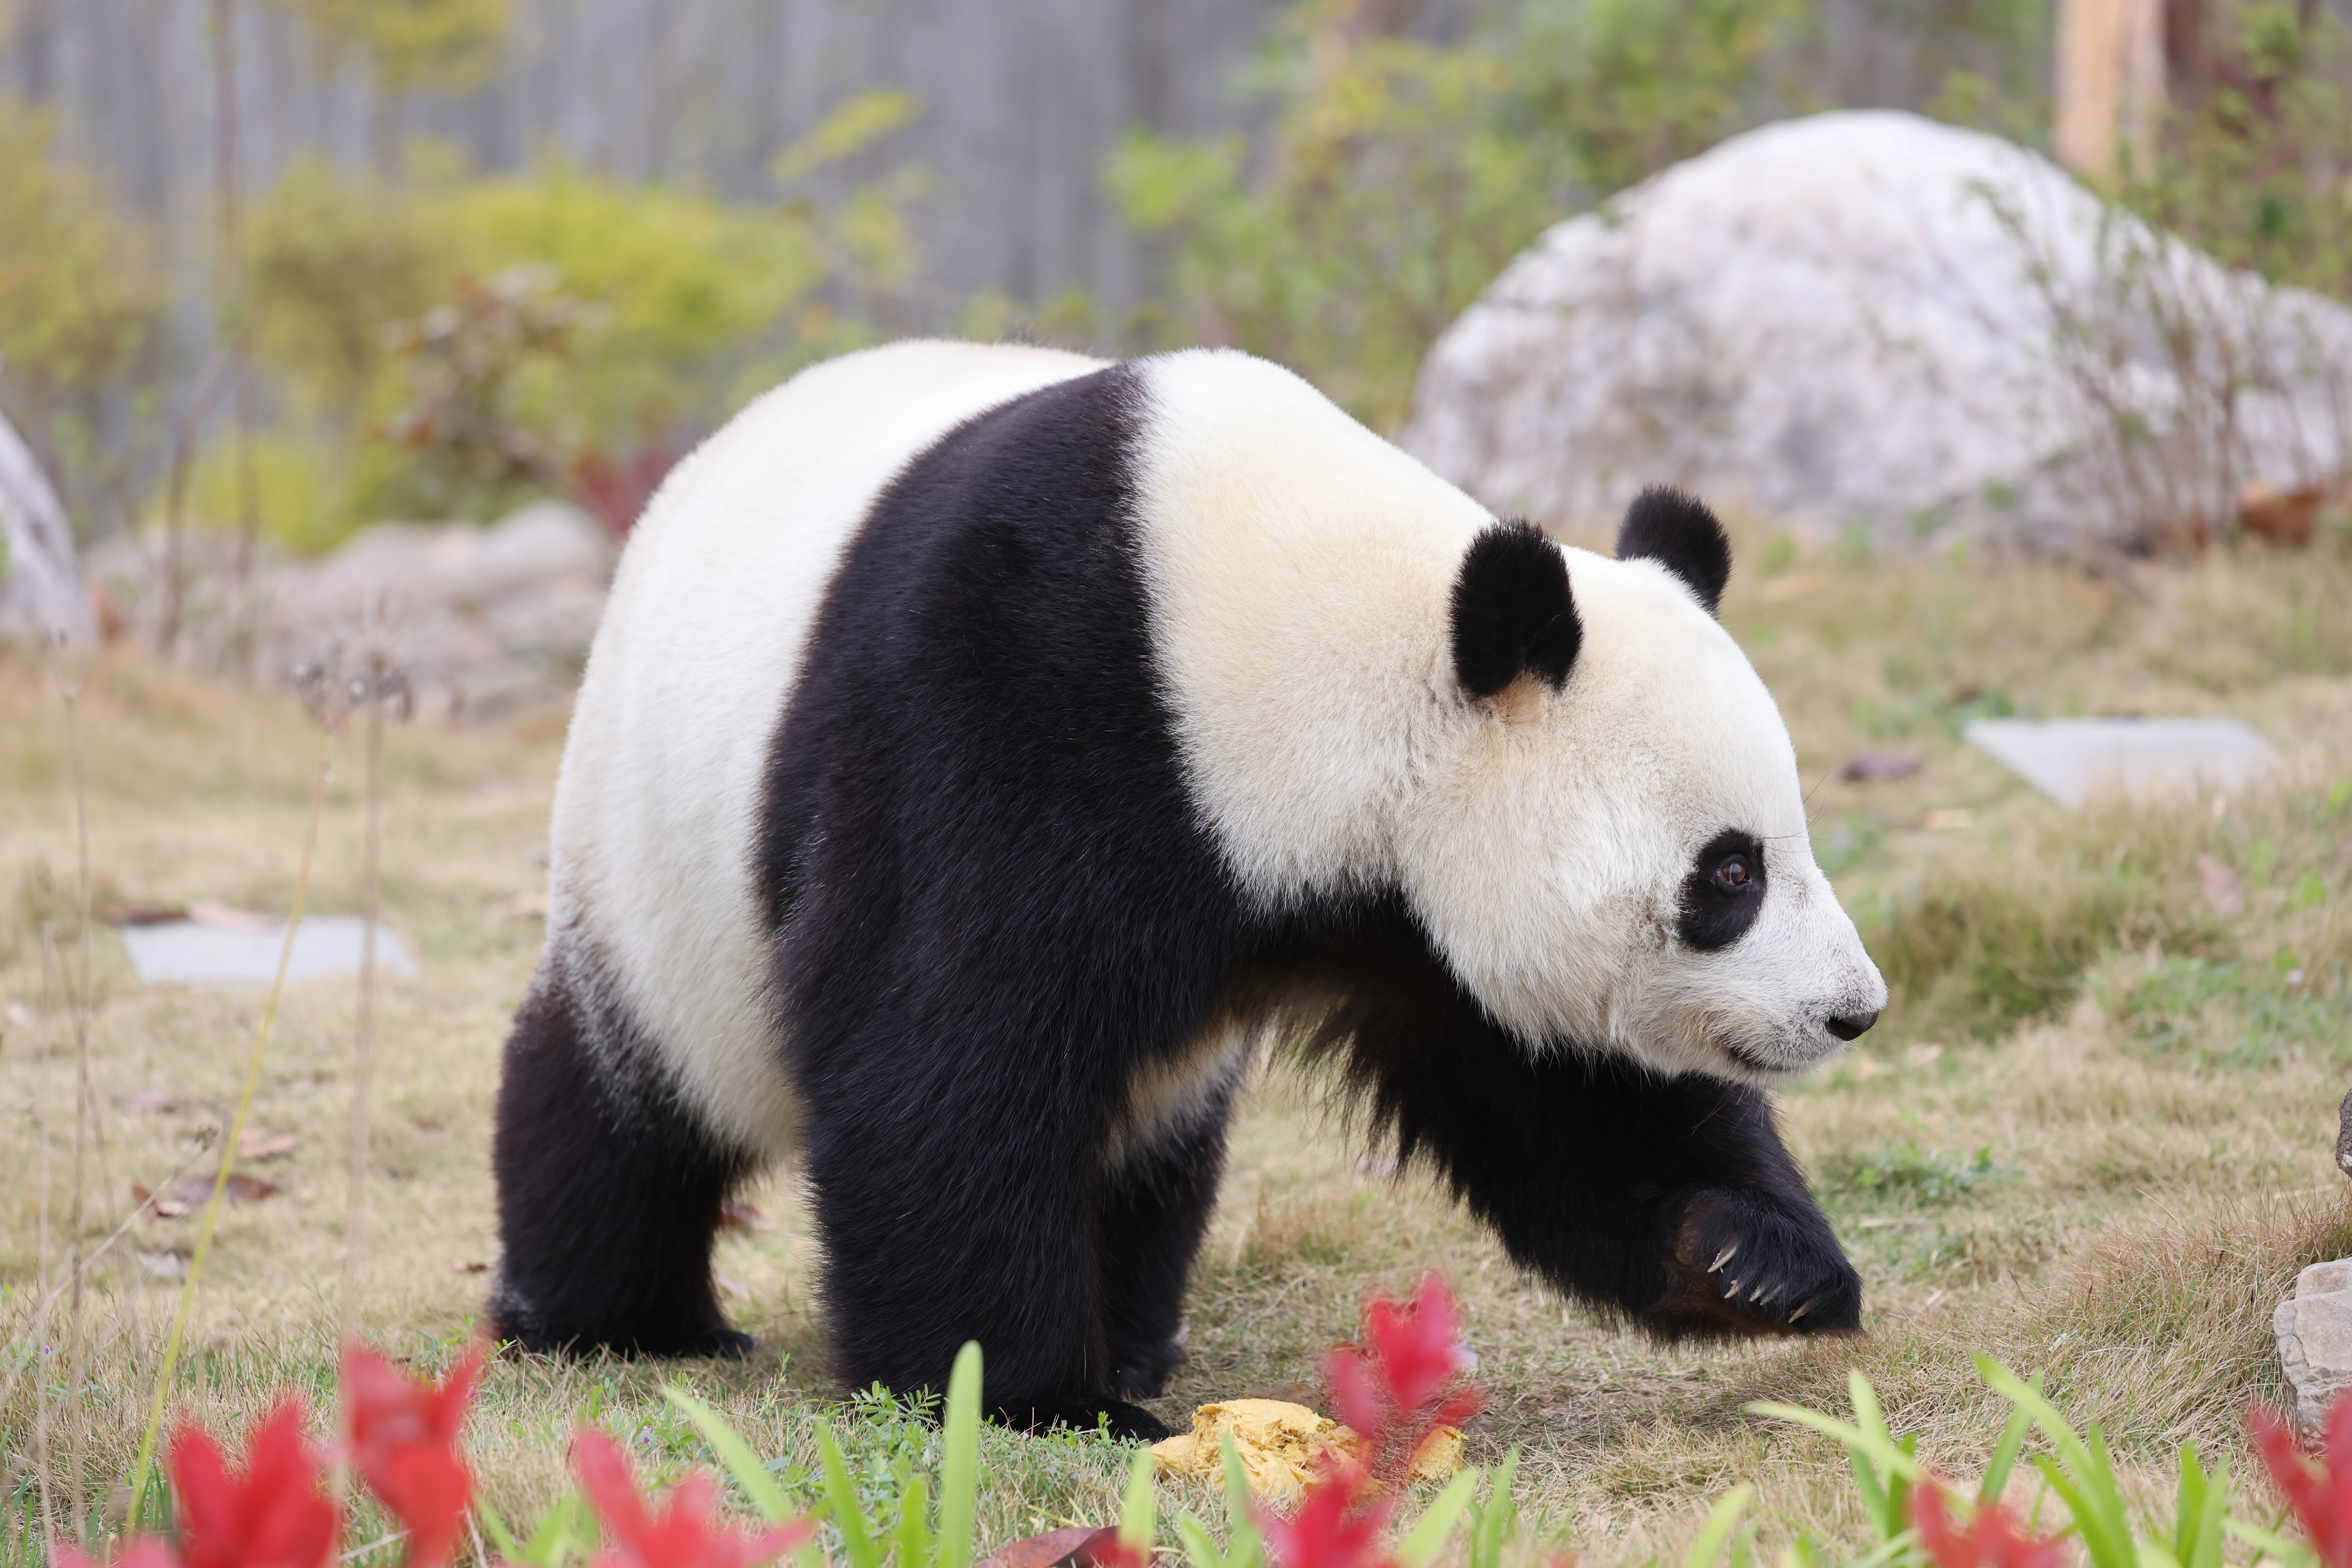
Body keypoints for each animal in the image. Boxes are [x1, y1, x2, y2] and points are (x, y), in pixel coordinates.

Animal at [488, 340, 1888, 1440]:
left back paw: (1135, 1329)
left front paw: (1749, 1260)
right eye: (1727, 872)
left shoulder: (1410, 921)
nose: (1852, 1011)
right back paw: (613, 1318)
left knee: (1148, 1147)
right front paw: (1027, 1396)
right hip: (654, 859)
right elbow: (940, 1063)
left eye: (1786, 841)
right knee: (620, 1092)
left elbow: (1564, 1092)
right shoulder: (1007, 705)